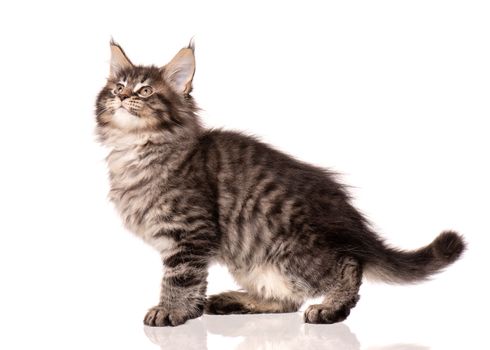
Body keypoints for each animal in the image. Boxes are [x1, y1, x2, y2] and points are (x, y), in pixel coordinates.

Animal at [94, 41, 466, 328]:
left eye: (145, 90)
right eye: (117, 88)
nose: (122, 97)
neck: (135, 148)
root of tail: (351, 221)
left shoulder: (192, 233)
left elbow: (181, 278)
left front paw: (171, 310)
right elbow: (194, 283)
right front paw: (190, 310)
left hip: (290, 248)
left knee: (347, 266)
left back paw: (331, 307)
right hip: (251, 259)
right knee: (288, 299)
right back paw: (234, 301)